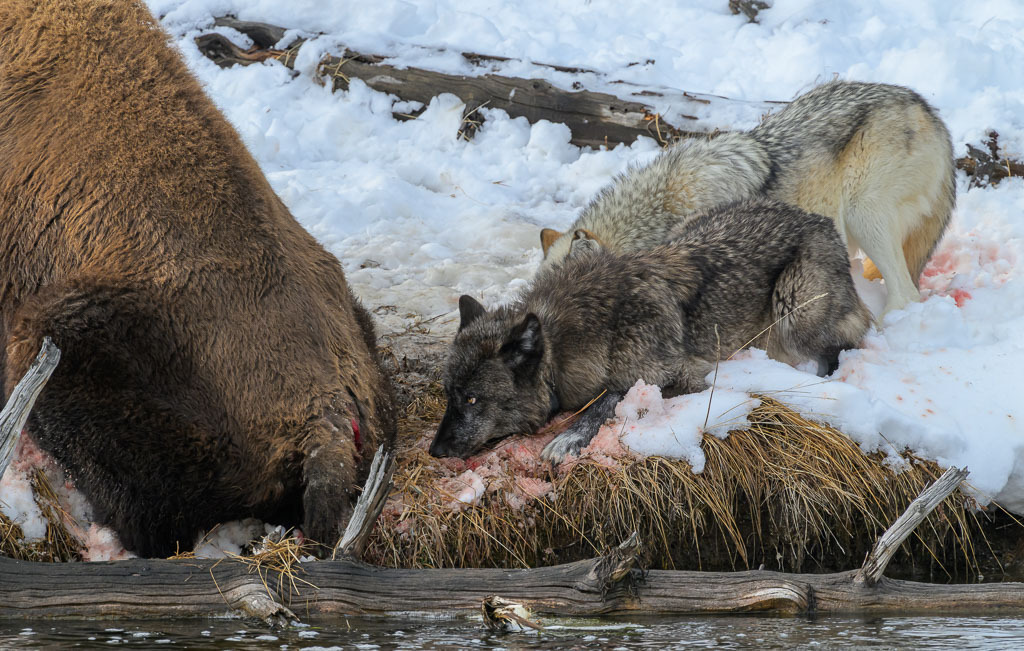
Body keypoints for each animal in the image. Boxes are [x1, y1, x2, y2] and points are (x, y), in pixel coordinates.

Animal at [431, 199, 871, 462]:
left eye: (472, 400)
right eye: (450, 395)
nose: (434, 450)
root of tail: (820, 220)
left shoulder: (678, 376)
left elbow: (609, 398)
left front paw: (568, 438)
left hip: (793, 312)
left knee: (846, 342)